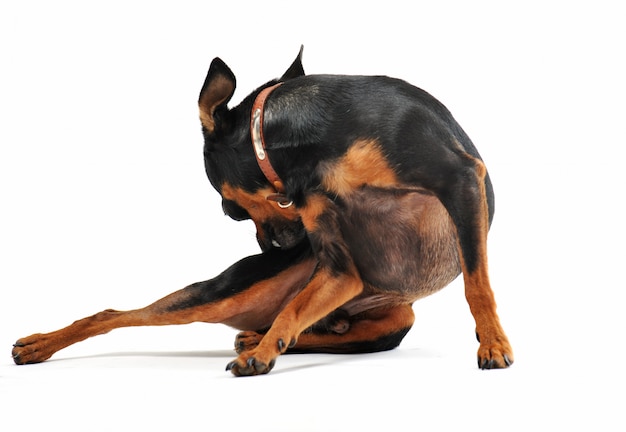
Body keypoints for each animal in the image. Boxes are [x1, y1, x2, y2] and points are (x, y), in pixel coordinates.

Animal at [11, 47, 512, 376]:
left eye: (227, 209)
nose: (273, 246)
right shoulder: (338, 264)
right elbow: (293, 310)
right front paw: (263, 351)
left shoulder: (460, 179)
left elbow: (477, 284)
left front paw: (492, 341)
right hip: (230, 292)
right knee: (115, 313)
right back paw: (40, 346)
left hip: (394, 321)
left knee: (310, 328)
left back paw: (256, 338)